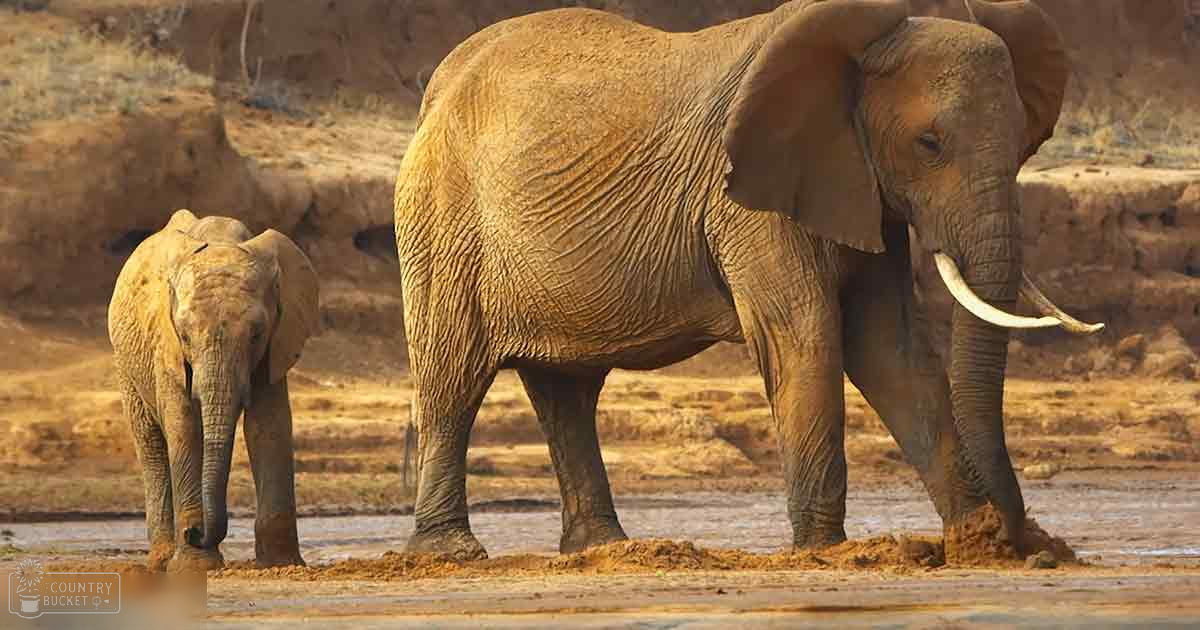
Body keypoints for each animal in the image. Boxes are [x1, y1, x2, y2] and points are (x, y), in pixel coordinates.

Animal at [108, 209, 319, 571]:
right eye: (185, 335)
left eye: (256, 334)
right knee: (149, 442)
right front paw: (195, 567)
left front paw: (281, 565)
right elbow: (184, 427)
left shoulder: (276, 342)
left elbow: (269, 427)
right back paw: (161, 561)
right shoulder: (166, 347)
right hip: (126, 364)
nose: (195, 532)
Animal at [392, 0, 1103, 560]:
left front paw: (976, 544)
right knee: (453, 379)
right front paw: (824, 553)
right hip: (442, 224)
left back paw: (604, 550)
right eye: (929, 145)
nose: (1030, 539)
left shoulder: (859, 190)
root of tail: (436, 89)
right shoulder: (748, 199)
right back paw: (451, 554)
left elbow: (890, 352)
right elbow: (807, 336)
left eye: (1024, 144)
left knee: (567, 391)